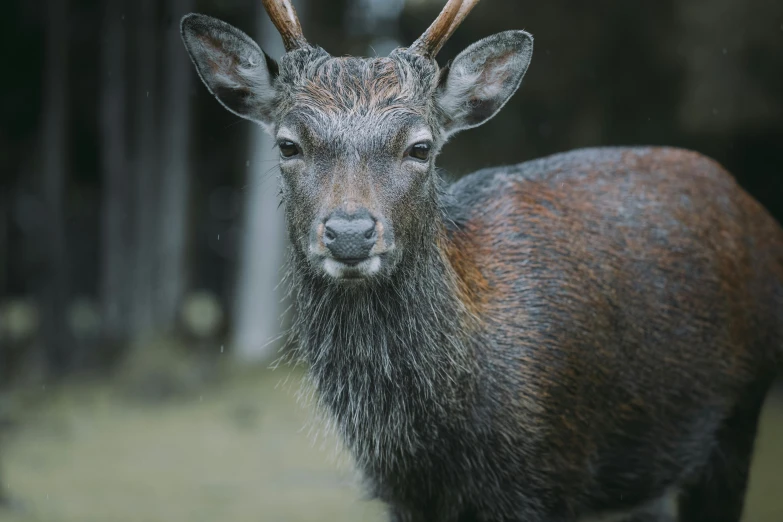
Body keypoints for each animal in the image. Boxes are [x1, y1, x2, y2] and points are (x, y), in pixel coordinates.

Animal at [181, 1, 783, 516]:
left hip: (738, 414)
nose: (350, 234)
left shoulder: (551, 476)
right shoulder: (404, 497)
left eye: (420, 147)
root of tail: (759, 215)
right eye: (288, 144)